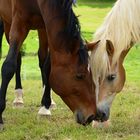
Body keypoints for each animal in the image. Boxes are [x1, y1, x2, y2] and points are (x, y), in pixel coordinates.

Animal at [0, 0, 103, 128]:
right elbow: (9, 66)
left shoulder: (47, 27)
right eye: (79, 76)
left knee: (41, 58)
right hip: (7, 23)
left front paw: (45, 106)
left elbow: (47, 66)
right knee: (18, 59)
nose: (91, 116)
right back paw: (18, 97)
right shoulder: (19, 22)